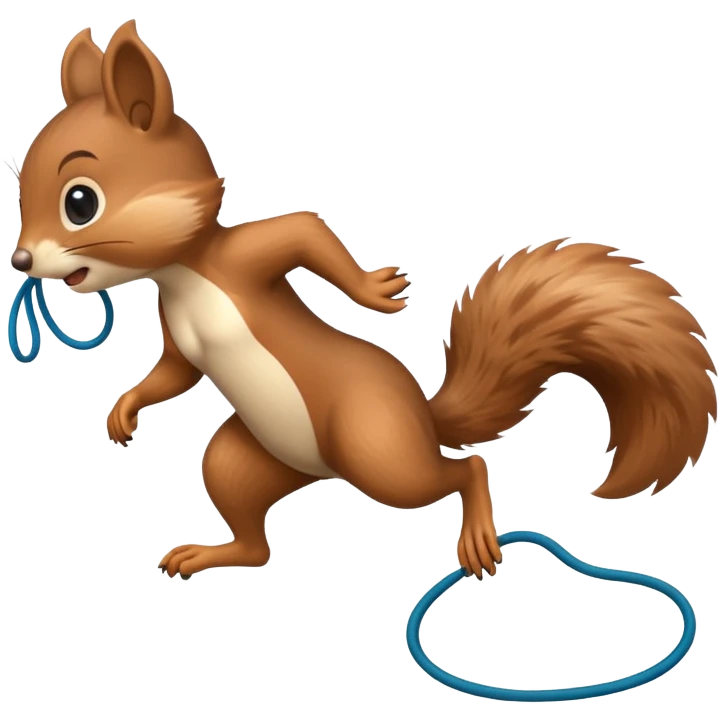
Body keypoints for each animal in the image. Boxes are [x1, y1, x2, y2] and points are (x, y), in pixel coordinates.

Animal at [10, 20, 718, 581]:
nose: (21, 261)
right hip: (247, 457)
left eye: (80, 201)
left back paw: (476, 532)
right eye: (20, 188)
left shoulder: (244, 258)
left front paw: (376, 292)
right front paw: (125, 410)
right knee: (254, 536)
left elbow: (305, 231)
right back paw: (214, 554)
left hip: (377, 446)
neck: (185, 273)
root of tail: (421, 418)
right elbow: (174, 373)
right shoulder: (179, 332)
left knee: (464, 470)